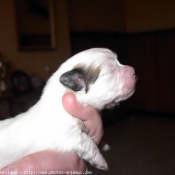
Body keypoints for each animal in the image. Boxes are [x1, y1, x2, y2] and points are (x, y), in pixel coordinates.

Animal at [0, 47, 137, 170]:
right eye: (111, 71)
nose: (134, 71)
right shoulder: (70, 135)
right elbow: (88, 142)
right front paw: (101, 161)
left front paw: (104, 145)